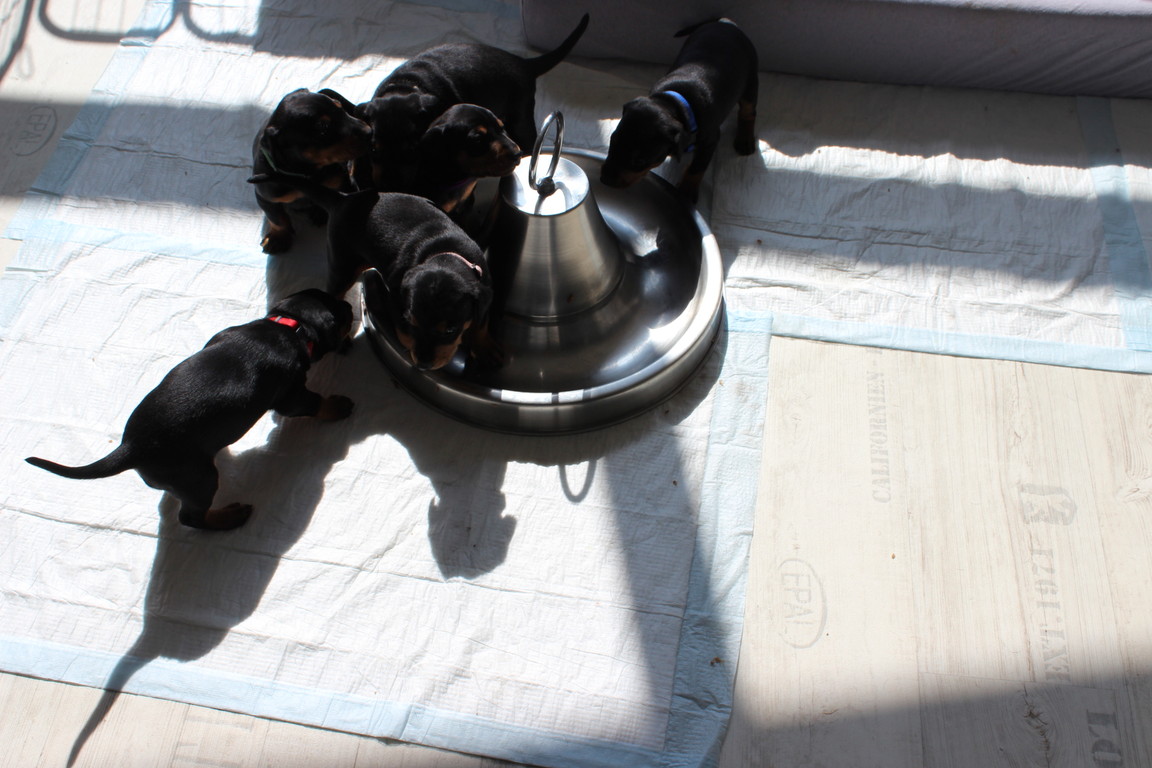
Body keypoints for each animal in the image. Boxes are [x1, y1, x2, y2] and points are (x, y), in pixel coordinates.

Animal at [25, 290, 355, 531]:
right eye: (341, 314)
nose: (351, 305)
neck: (287, 325)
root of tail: (130, 448)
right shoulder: (291, 394)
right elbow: (314, 403)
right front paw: (338, 405)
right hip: (199, 479)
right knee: (191, 518)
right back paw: (229, 518)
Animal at [248, 172, 496, 371]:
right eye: (411, 322)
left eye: (450, 330)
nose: (423, 364)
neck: (444, 253)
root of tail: (343, 199)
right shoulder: (396, 295)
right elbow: (402, 329)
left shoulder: (483, 291)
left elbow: (482, 324)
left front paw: (486, 352)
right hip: (342, 263)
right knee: (333, 294)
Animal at [251, 88, 372, 254]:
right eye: (323, 127)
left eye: (339, 107)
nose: (369, 132)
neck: (306, 173)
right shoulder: (265, 197)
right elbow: (276, 218)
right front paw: (278, 238)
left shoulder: (342, 182)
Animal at [359, 13, 588, 191]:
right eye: (373, 150)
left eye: (413, 150)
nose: (390, 187)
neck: (406, 85)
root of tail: (523, 63)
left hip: (521, 118)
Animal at [600, 19, 758, 201]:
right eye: (613, 141)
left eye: (640, 161)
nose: (604, 180)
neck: (674, 103)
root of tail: (725, 23)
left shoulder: (710, 140)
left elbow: (697, 168)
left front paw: (686, 193)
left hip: (750, 80)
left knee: (748, 111)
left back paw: (745, 140)